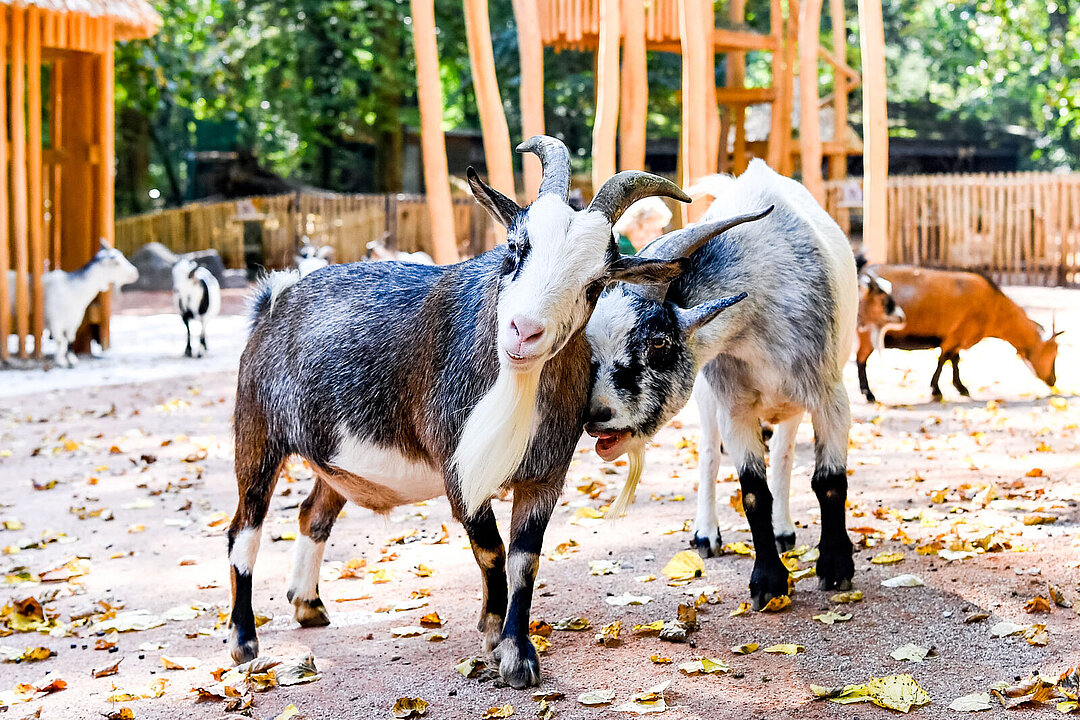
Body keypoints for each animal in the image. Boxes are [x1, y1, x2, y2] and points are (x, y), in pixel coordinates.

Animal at [227, 139, 743, 686]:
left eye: (595, 283)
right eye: (515, 249)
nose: (524, 331)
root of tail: (274, 301)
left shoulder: (545, 476)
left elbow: (524, 561)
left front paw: (518, 654)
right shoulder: (461, 474)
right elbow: (492, 552)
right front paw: (495, 636)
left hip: (336, 463)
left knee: (313, 513)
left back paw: (308, 605)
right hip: (256, 432)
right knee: (244, 529)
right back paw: (244, 642)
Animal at [587, 160, 855, 613]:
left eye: (658, 341)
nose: (596, 416)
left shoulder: (830, 397)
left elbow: (829, 482)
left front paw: (836, 567)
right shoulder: (734, 408)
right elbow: (752, 492)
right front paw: (769, 583)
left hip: (795, 404)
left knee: (784, 455)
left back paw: (784, 530)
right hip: (708, 400)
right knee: (711, 456)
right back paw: (706, 535)